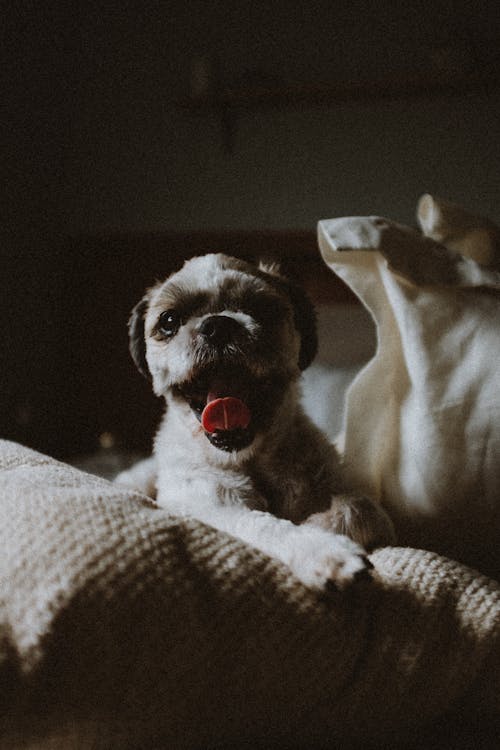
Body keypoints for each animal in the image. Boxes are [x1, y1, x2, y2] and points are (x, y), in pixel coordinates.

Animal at [114, 254, 394, 592]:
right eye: (169, 321)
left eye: (263, 309)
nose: (217, 324)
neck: (252, 460)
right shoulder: (214, 505)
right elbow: (267, 526)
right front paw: (324, 550)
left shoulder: (349, 494)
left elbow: (359, 507)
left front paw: (321, 523)